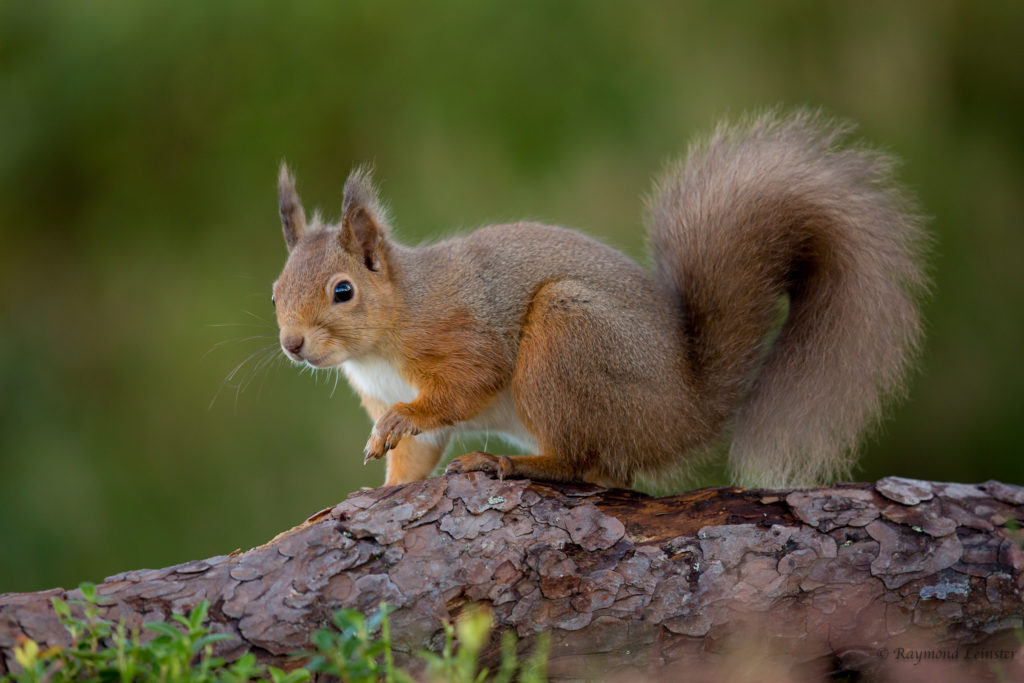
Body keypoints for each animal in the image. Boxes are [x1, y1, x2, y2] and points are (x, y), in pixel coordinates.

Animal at [270, 112, 929, 489]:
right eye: (276, 290)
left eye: (343, 291)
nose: (292, 345)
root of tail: (689, 408)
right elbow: (414, 459)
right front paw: (384, 485)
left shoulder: (462, 331)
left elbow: (467, 384)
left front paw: (401, 420)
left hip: (567, 341)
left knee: (587, 464)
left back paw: (512, 464)